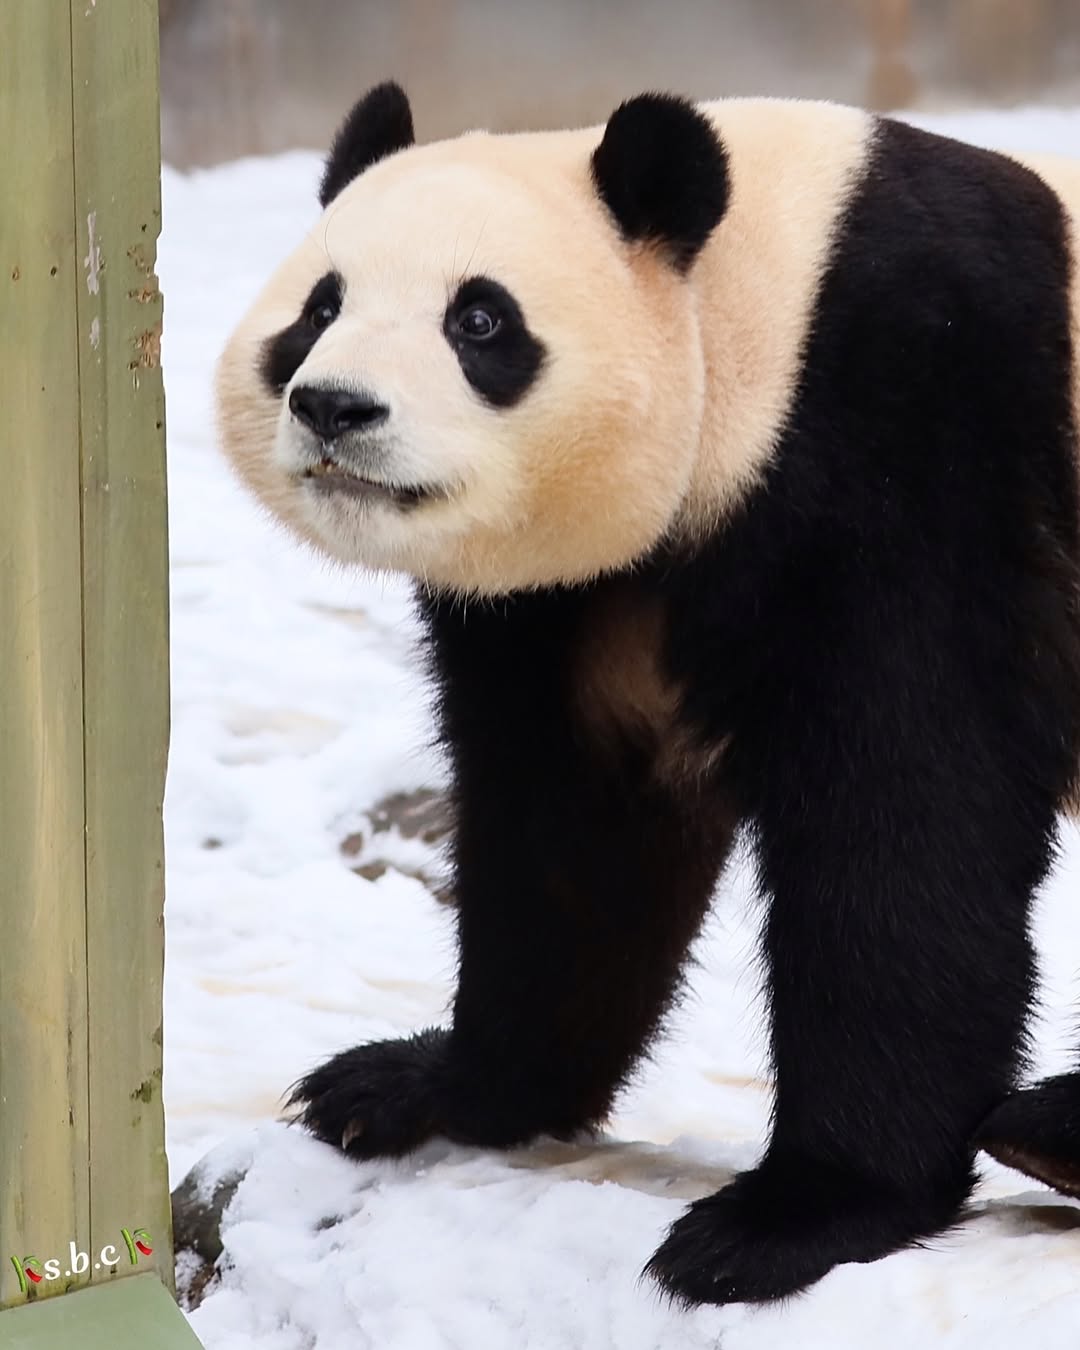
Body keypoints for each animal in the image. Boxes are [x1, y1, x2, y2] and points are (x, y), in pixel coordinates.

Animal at [214, 87, 1080, 1306]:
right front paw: (426, 1087)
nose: (335, 407)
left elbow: (908, 816)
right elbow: (580, 838)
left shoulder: (916, 448)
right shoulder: (582, 601)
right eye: (320, 306)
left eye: (480, 321)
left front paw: (798, 1213)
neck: (756, 314)